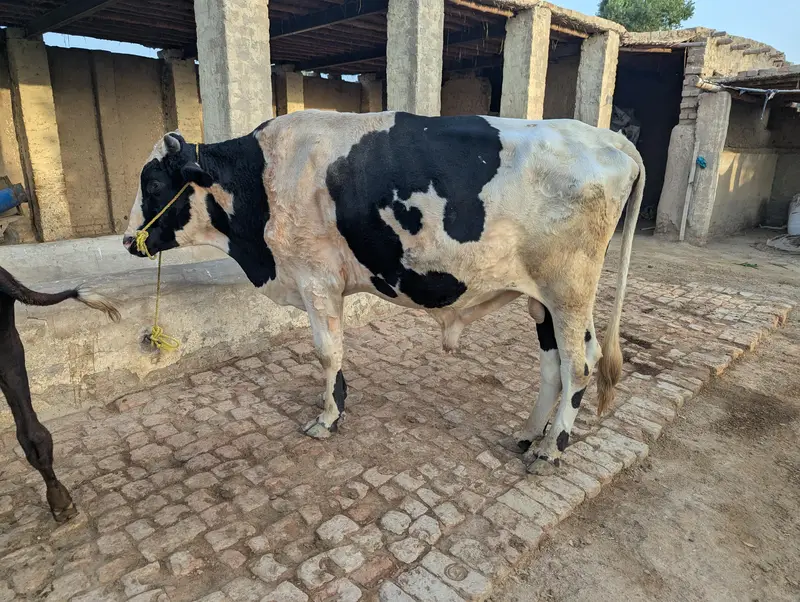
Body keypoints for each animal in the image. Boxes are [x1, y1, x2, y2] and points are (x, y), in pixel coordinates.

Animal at [122, 110, 644, 475]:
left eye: (153, 181)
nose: (128, 241)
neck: (263, 177)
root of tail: (611, 138)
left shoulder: (316, 279)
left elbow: (326, 351)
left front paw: (328, 418)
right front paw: (338, 406)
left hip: (569, 292)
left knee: (579, 366)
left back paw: (551, 450)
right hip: (545, 301)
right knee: (557, 365)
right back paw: (531, 435)